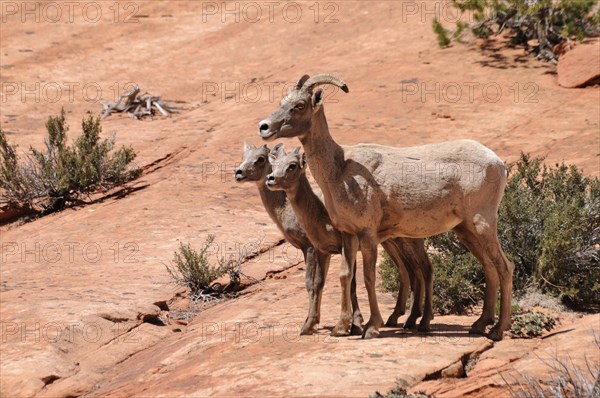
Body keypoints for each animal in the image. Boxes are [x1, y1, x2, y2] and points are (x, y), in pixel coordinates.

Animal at [258, 73, 516, 340]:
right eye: (282, 101)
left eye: (299, 106)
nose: (264, 126)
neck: (339, 169)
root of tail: (498, 163)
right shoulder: (348, 234)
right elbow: (345, 276)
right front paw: (341, 328)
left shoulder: (368, 234)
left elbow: (368, 278)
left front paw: (371, 327)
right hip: (465, 229)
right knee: (489, 267)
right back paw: (479, 325)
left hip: (482, 223)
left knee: (505, 267)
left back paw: (497, 330)